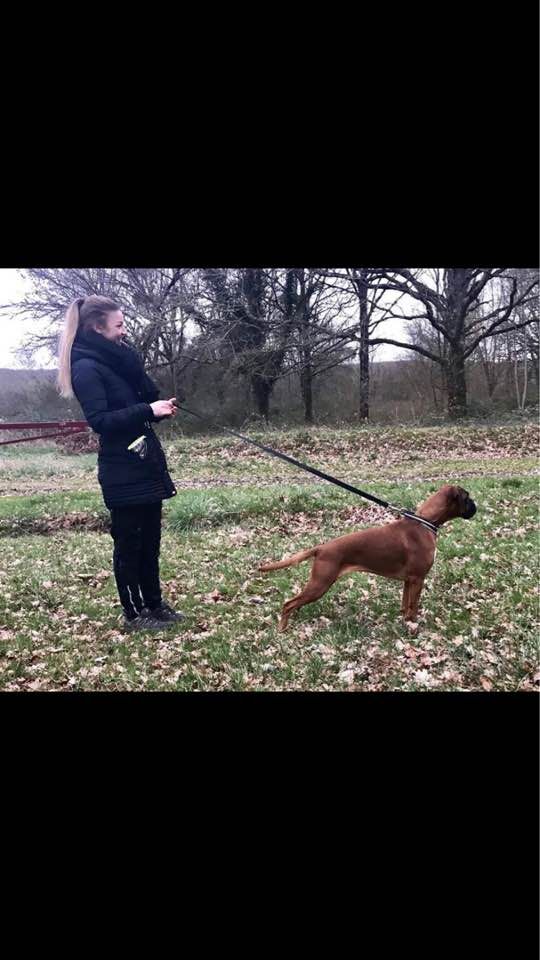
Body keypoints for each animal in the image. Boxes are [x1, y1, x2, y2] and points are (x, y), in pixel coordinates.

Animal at [260, 484, 474, 632]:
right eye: (467, 497)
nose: (476, 505)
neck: (425, 522)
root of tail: (321, 548)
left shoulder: (409, 581)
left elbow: (405, 605)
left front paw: (404, 622)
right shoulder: (418, 579)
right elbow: (413, 607)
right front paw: (413, 627)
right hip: (320, 585)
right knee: (288, 604)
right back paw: (282, 629)